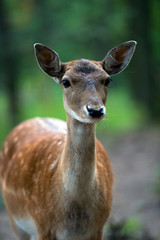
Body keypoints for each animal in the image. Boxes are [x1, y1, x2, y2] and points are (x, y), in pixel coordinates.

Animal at [0, 40, 136, 239]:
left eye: (107, 80)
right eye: (66, 81)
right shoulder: (42, 225)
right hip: (15, 220)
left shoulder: (98, 227)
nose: (95, 110)